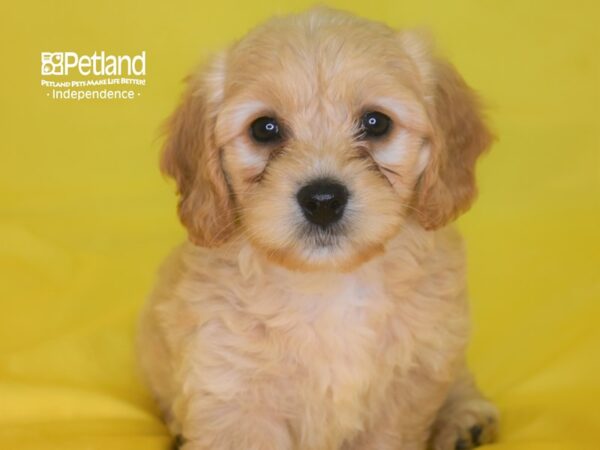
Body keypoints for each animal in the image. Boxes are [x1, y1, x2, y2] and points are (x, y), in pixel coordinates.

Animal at [138, 7, 500, 450]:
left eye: (376, 123)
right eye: (264, 128)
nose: (323, 201)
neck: (329, 285)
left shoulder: (405, 389)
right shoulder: (233, 392)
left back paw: (465, 420)